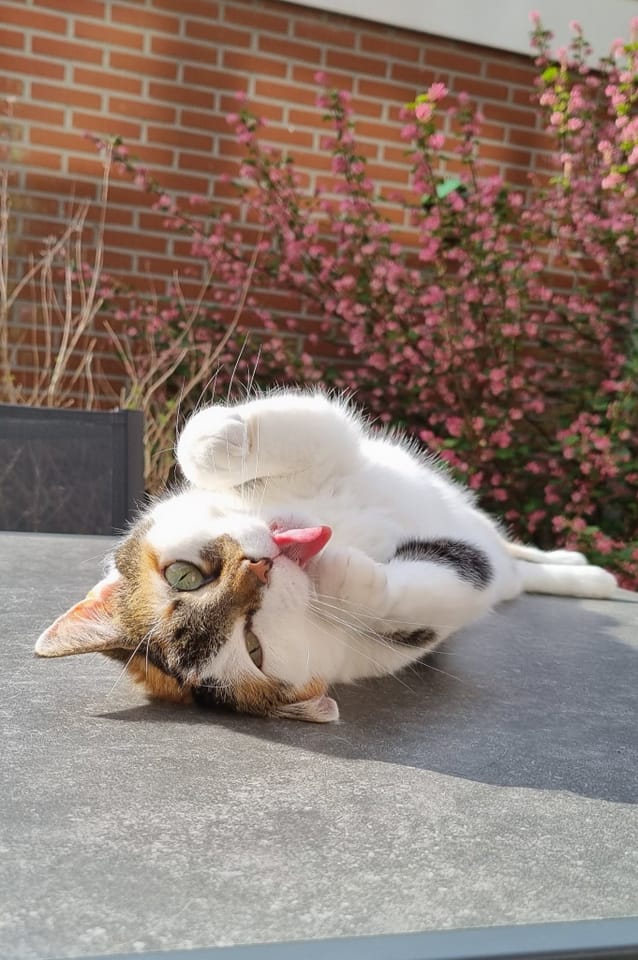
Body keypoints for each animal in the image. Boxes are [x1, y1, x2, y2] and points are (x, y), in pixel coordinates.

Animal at [35, 390, 617, 722]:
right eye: (252, 646)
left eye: (183, 575)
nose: (261, 567)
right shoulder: (403, 639)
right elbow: (446, 586)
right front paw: (341, 575)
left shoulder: (327, 450)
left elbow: (221, 442)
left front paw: (222, 436)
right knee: (507, 571)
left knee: (512, 549)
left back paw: (583, 569)